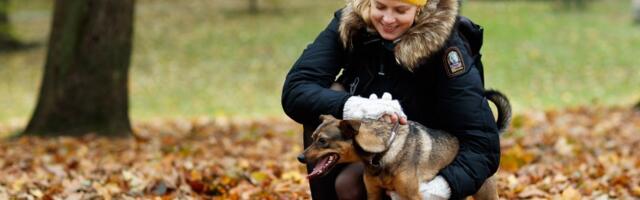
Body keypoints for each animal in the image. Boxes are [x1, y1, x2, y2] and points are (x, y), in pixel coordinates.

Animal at [296, 90, 510, 199]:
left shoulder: (414, 196)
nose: (300, 157)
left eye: (323, 141)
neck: (383, 153)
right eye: (313, 137)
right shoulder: (374, 194)